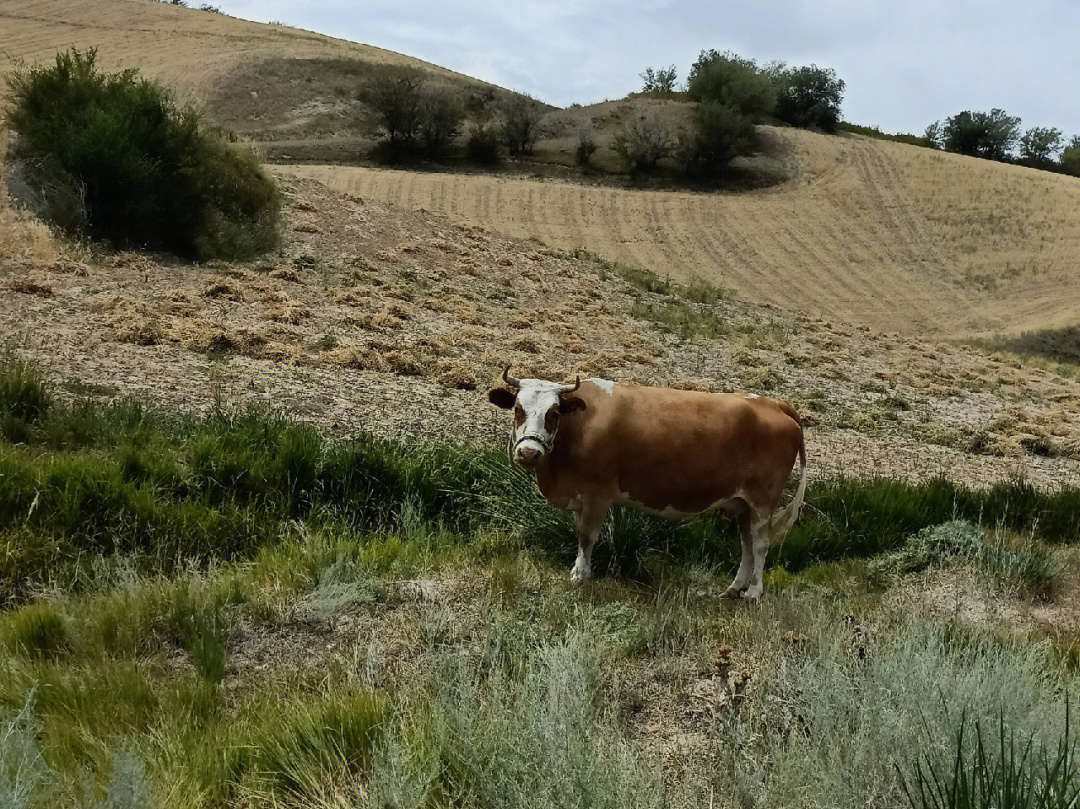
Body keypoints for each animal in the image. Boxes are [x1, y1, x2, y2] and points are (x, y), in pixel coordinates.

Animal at [486, 369, 807, 596]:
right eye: (517, 408)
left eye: (553, 412)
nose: (529, 452)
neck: (577, 426)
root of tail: (773, 403)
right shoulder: (580, 496)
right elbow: (578, 534)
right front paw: (580, 568)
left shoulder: (597, 494)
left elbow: (587, 536)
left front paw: (580, 575)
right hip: (743, 505)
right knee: (747, 544)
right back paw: (734, 588)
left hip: (763, 502)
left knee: (761, 544)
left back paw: (753, 591)